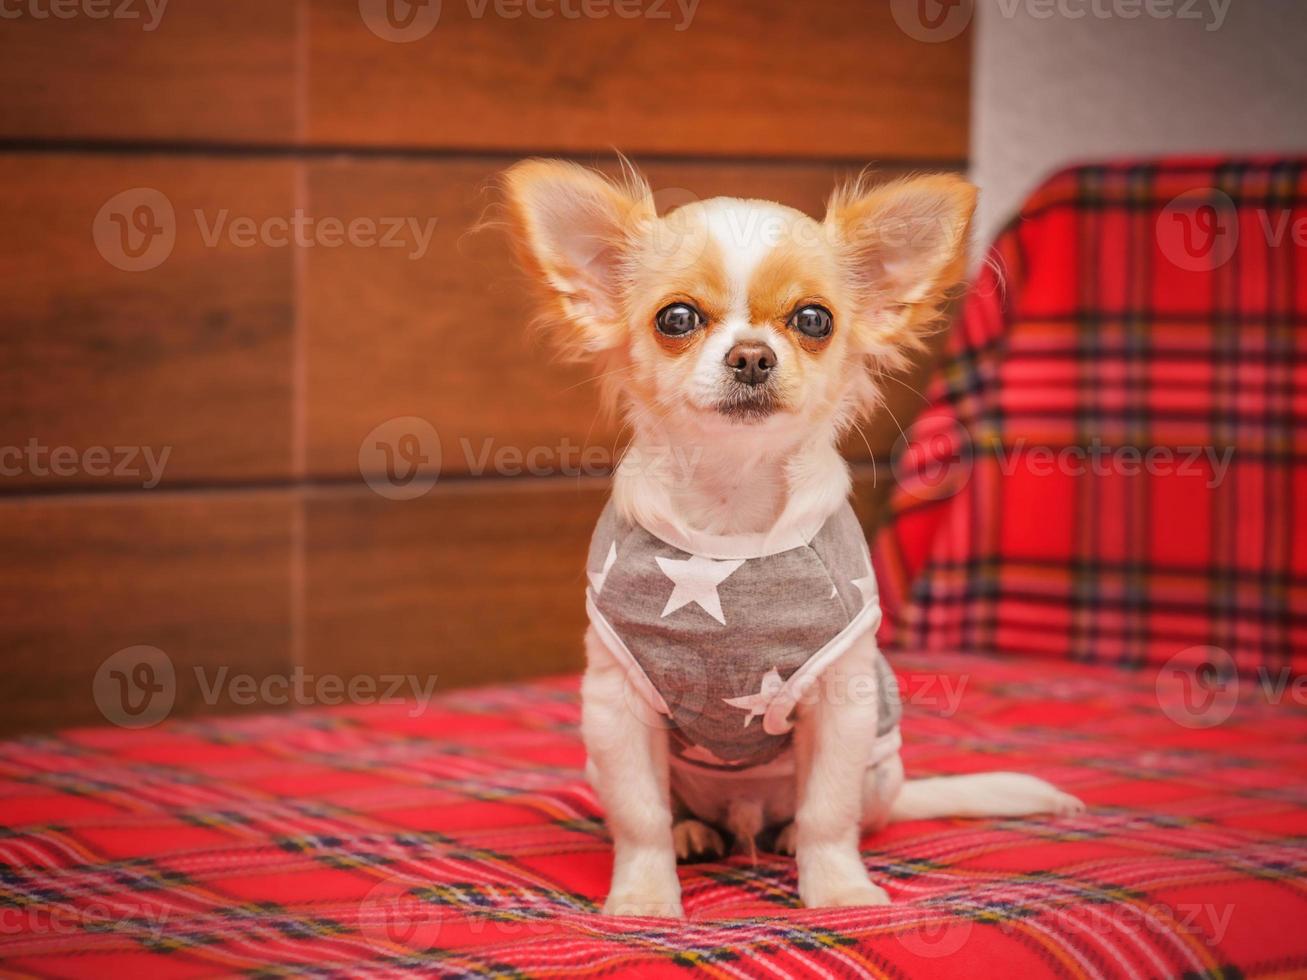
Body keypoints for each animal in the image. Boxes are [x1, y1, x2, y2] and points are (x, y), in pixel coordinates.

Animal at [499, 161, 1082, 919]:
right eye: (676, 318)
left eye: (812, 320)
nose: (751, 355)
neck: (732, 508)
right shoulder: (615, 709)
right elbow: (640, 818)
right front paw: (644, 901)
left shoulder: (842, 705)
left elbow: (828, 811)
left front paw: (838, 893)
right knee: (676, 811)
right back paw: (695, 833)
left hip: (880, 765)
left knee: (835, 813)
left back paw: (785, 837)